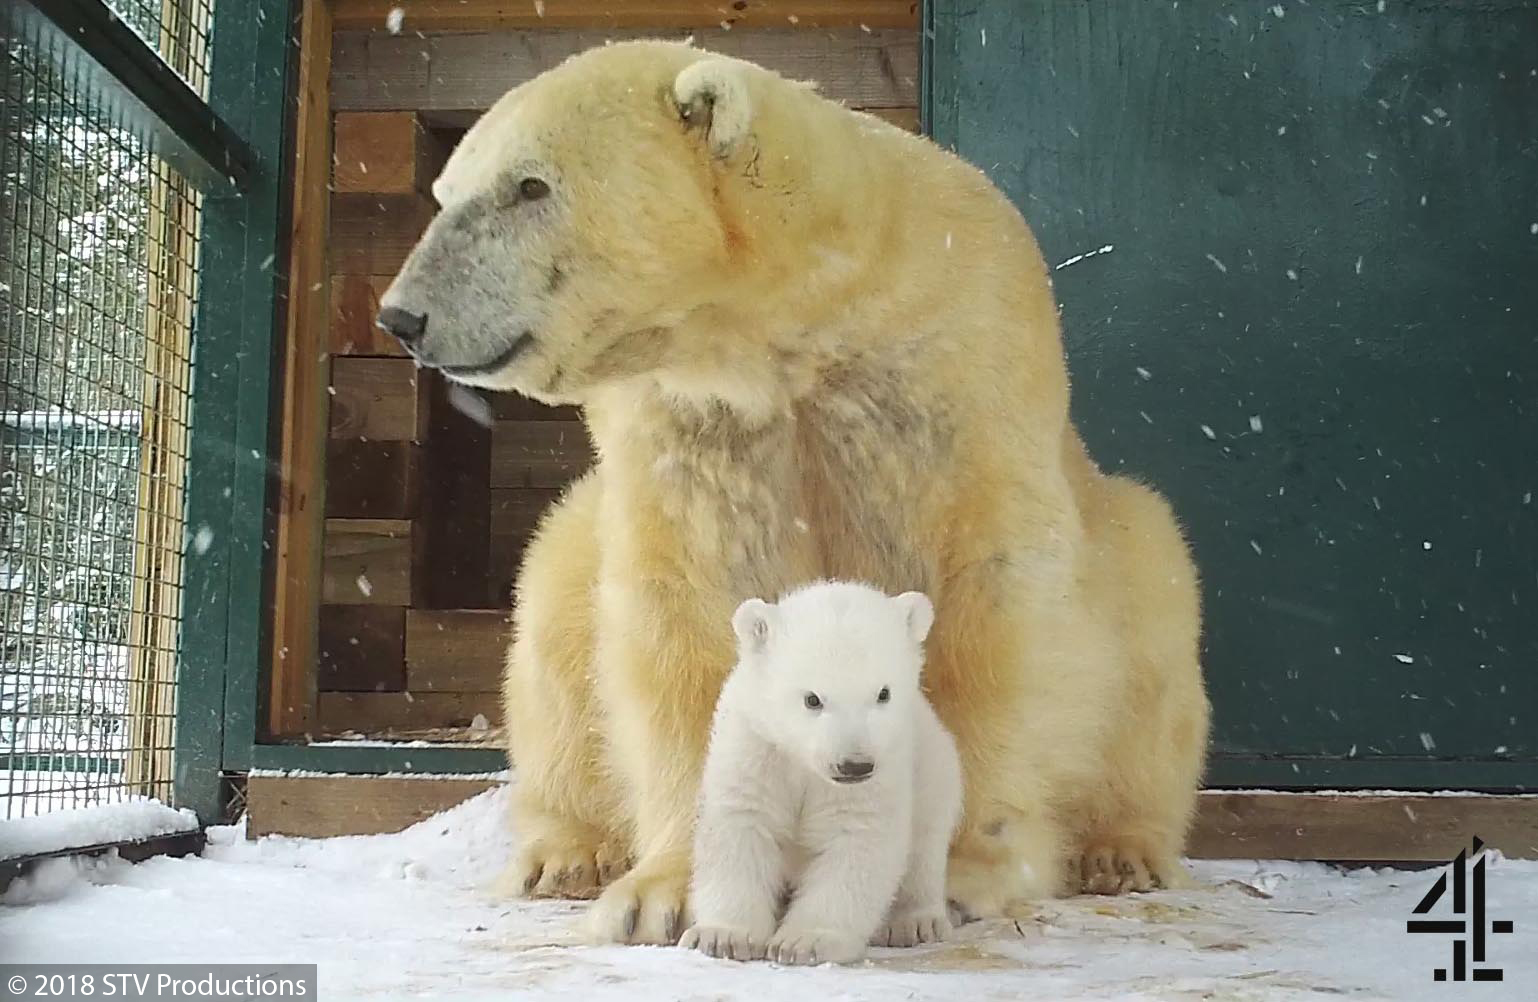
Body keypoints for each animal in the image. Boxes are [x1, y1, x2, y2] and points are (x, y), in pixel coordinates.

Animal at [378, 41, 1205, 948]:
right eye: (446, 191)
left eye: (529, 185)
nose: (402, 317)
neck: (802, 325)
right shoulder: (694, 426)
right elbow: (685, 615)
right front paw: (662, 892)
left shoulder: (962, 375)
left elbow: (993, 611)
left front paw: (958, 870)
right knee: (555, 609)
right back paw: (564, 854)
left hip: (1131, 547)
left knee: (1155, 633)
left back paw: (1121, 849)